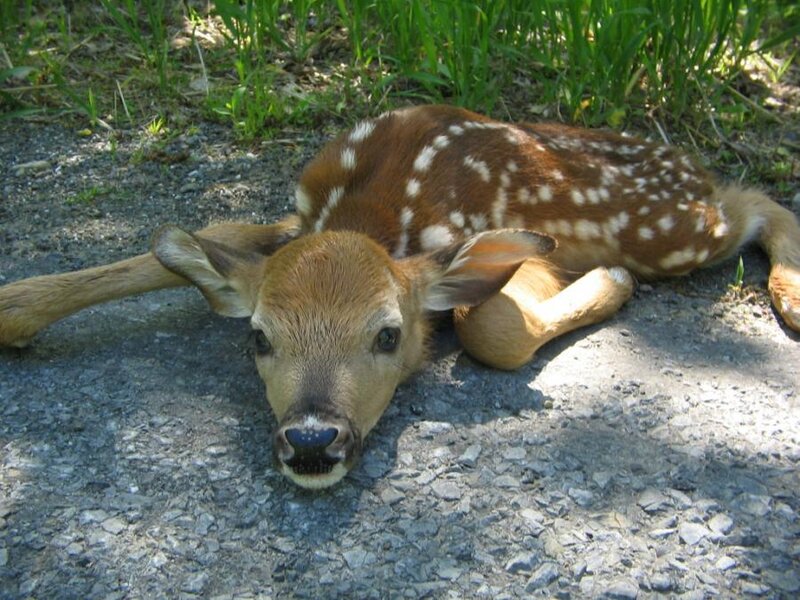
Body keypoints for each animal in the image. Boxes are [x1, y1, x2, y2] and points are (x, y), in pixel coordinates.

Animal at [1, 105, 799, 489]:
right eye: (258, 337)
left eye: (388, 335)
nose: (312, 441)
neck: (374, 215)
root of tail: (686, 163)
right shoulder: (296, 220)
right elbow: (208, 235)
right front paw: (17, 303)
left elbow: (491, 330)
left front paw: (610, 284)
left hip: (668, 233)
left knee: (753, 199)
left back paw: (786, 296)